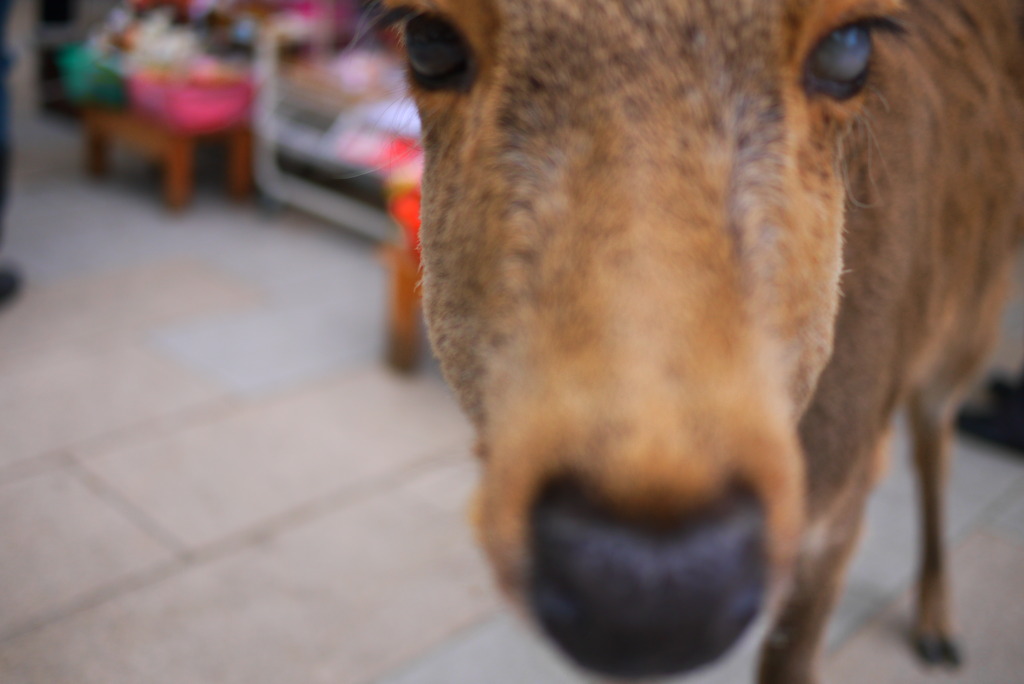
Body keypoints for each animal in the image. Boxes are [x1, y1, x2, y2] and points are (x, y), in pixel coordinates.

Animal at [380, 0, 1024, 679]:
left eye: (848, 47)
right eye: (428, 40)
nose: (651, 579)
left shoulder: (841, 502)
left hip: (972, 324)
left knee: (937, 436)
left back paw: (939, 629)